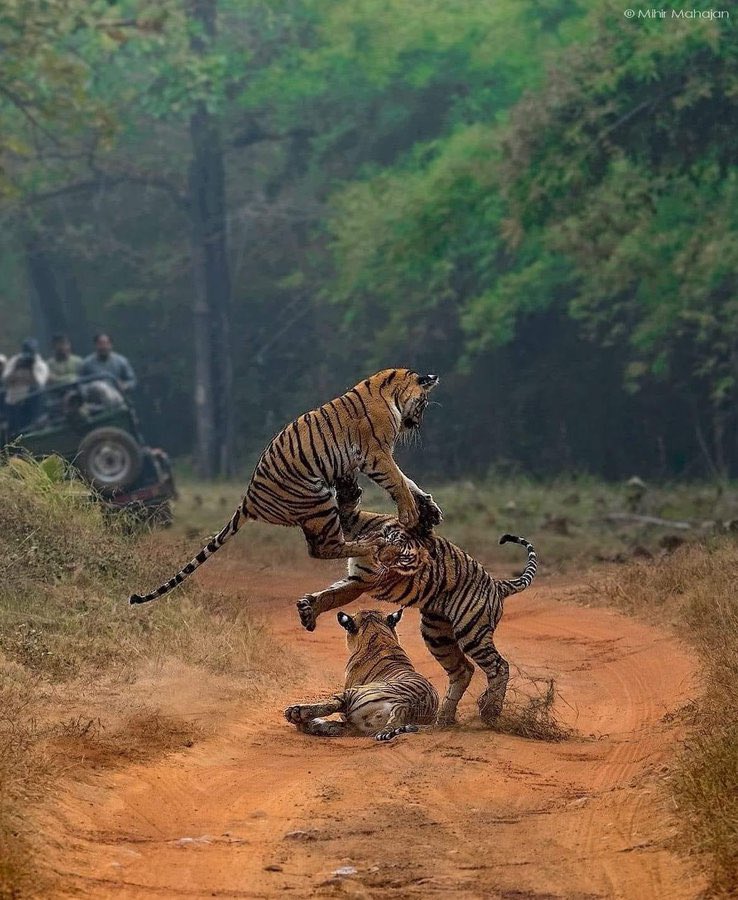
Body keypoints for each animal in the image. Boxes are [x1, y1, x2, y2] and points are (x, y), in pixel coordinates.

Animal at [127, 370, 440, 608]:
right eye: (424, 404)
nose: (417, 424)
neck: (391, 391)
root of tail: (249, 499)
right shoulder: (376, 455)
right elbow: (397, 480)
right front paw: (411, 514)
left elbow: (408, 481)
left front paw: (429, 508)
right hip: (318, 499)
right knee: (323, 548)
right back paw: (371, 543)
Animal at [284, 608, 436, 740]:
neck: (379, 635)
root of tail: (405, 706)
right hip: (356, 726)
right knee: (332, 727)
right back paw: (304, 723)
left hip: (352, 694)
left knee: (330, 706)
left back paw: (295, 713)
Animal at [294, 474, 536, 728]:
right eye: (389, 540)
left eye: (404, 558)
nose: (381, 559)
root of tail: (497, 585)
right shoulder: (358, 556)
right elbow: (330, 590)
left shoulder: (361, 582)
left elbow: (333, 595)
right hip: (436, 634)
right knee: (463, 669)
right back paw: (445, 717)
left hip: (472, 632)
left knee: (499, 666)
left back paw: (490, 711)